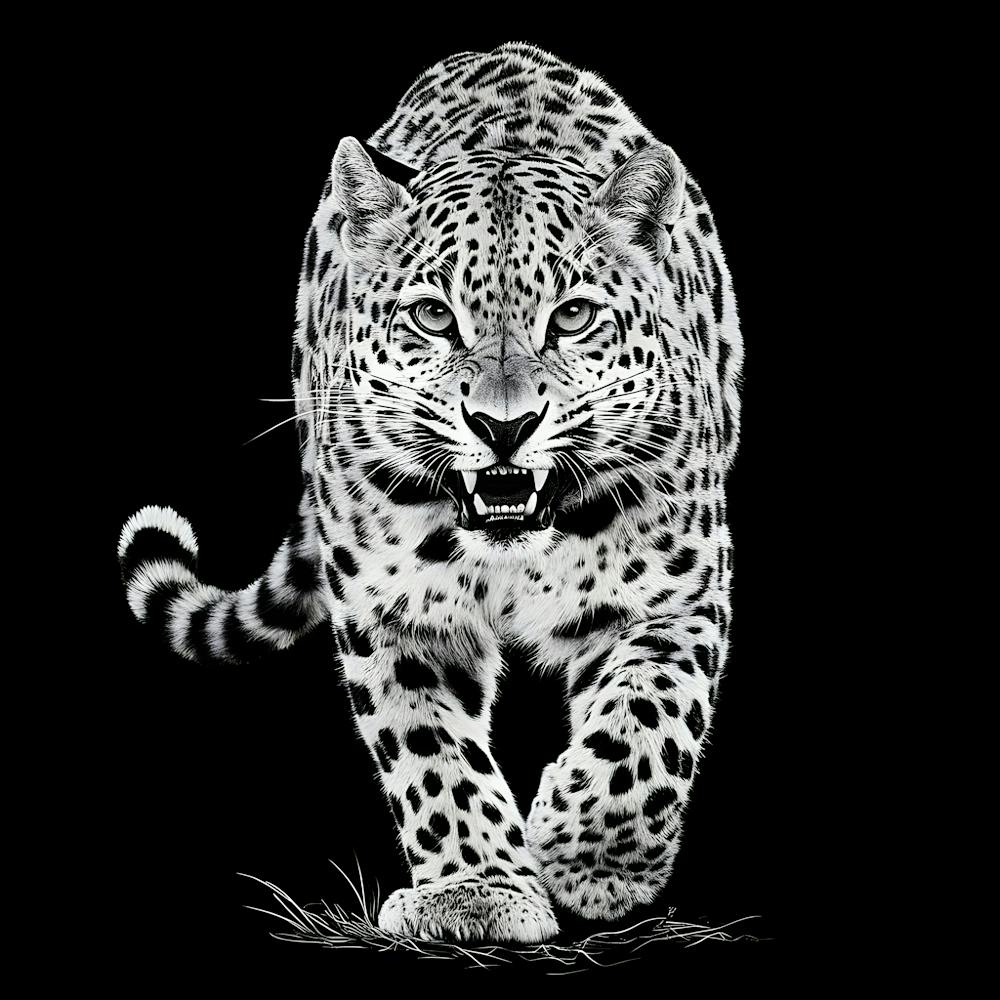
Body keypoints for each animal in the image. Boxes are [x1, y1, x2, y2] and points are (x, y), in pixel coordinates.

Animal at [118, 42, 743, 944]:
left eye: (574, 317)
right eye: (433, 316)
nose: (502, 425)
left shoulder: (676, 595)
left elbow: (647, 728)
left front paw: (589, 861)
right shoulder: (395, 610)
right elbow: (429, 754)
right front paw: (476, 893)